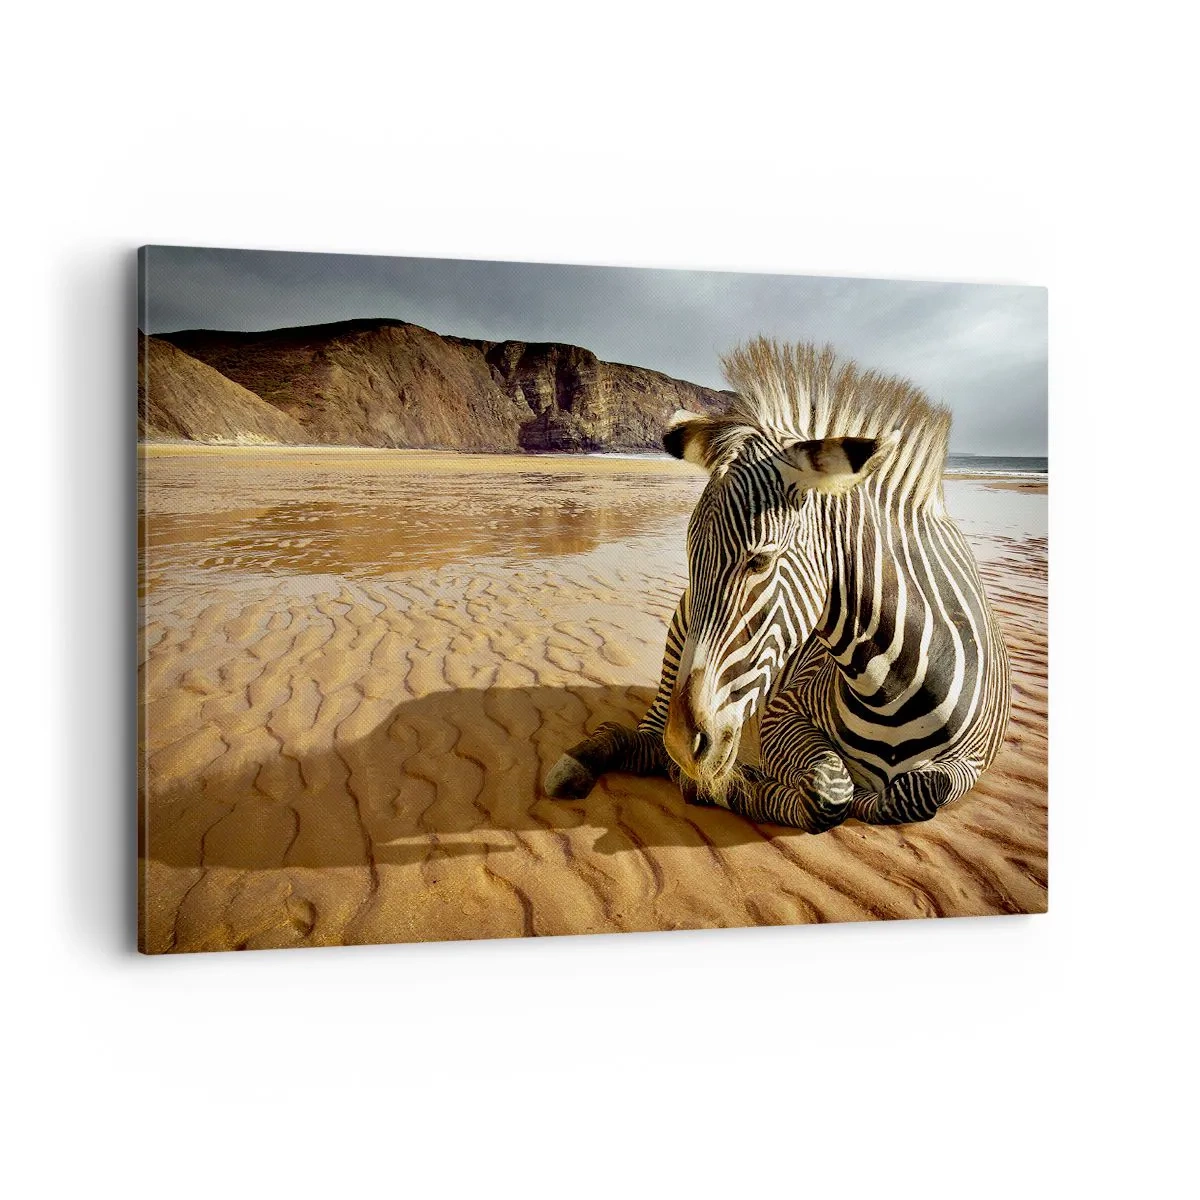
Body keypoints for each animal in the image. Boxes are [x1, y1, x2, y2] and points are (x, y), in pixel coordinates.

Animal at [544, 338, 1011, 832]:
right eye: (691, 557)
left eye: (760, 561)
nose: (685, 745)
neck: (893, 686)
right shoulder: (782, 711)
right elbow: (830, 792)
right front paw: (727, 787)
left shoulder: (972, 762)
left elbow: (915, 792)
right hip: (678, 641)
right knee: (647, 740)